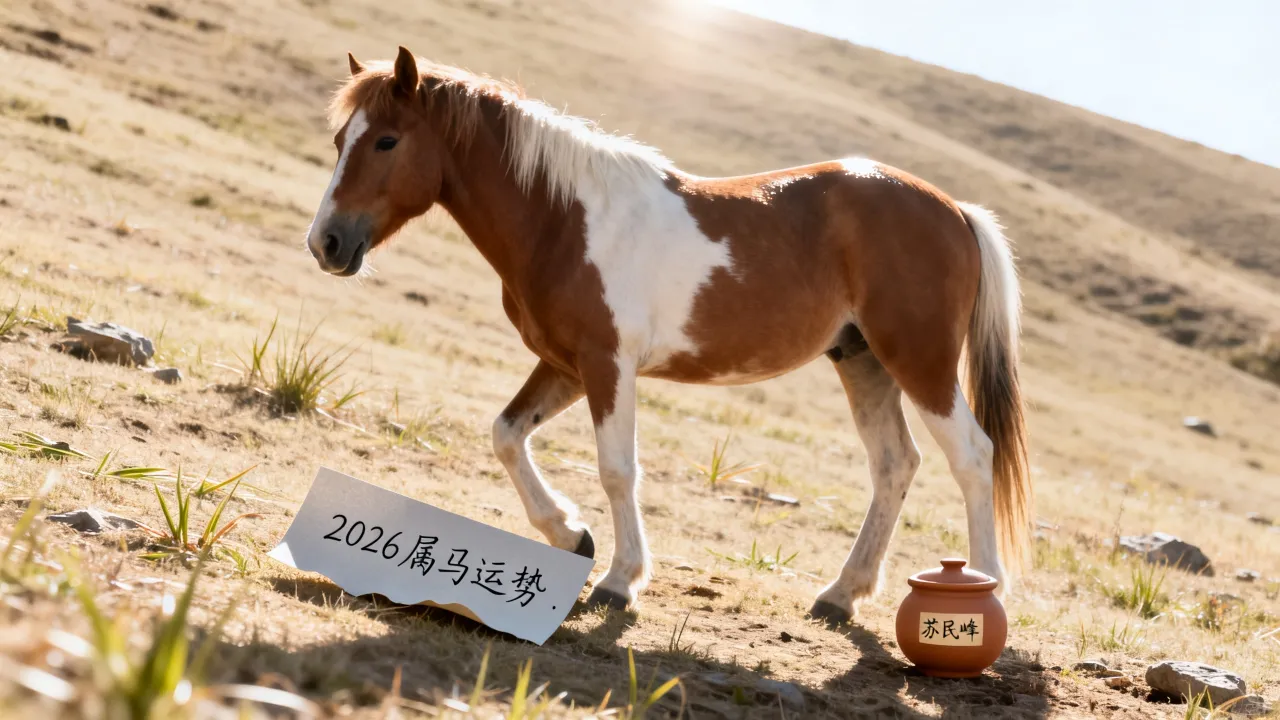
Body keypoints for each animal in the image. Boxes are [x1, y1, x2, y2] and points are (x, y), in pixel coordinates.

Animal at [305, 47, 1031, 622]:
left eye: (387, 141)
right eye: (340, 141)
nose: (326, 243)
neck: (562, 219)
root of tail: (955, 211)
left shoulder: (608, 365)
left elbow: (617, 468)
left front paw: (620, 580)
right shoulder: (565, 365)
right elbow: (506, 435)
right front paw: (571, 536)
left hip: (921, 363)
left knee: (973, 457)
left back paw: (982, 591)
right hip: (862, 362)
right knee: (894, 465)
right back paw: (839, 595)